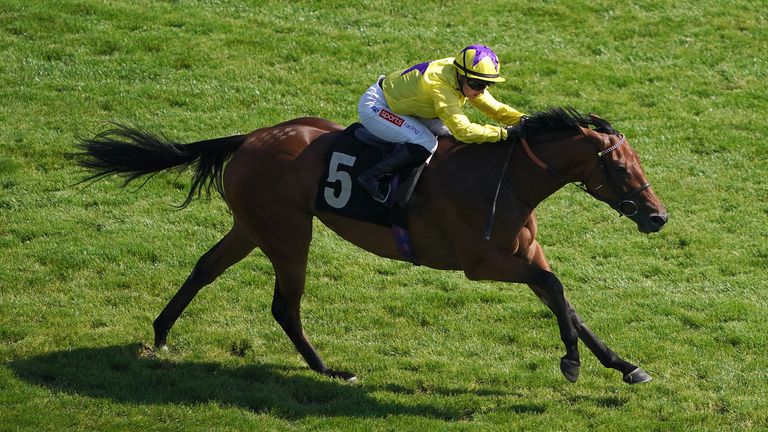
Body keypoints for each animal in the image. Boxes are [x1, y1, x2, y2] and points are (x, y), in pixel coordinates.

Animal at [75, 108, 668, 384]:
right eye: (619, 168)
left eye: (637, 162)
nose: (658, 217)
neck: (506, 178)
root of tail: (251, 137)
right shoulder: (482, 262)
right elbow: (556, 287)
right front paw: (570, 363)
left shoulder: (523, 256)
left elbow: (566, 303)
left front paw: (623, 365)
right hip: (289, 232)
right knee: (284, 305)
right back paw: (328, 369)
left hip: (251, 226)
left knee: (204, 268)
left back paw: (160, 334)